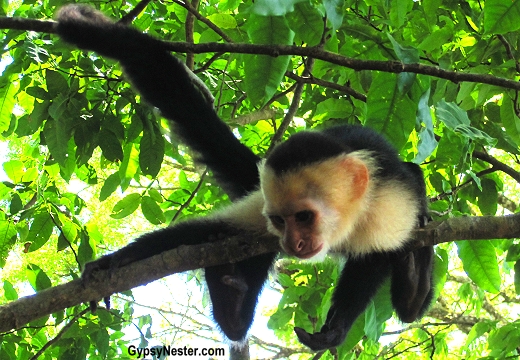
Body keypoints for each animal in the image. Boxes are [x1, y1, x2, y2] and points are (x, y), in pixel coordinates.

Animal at [54, 4, 432, 350]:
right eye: (280, 221)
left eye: (304, 217)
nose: (292, 244)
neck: (347, 218)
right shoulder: (265, 206)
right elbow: (199, 233)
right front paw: (112, 264)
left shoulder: (389, 207)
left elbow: (378, 259)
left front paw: (336, 328)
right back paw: (230, 304)